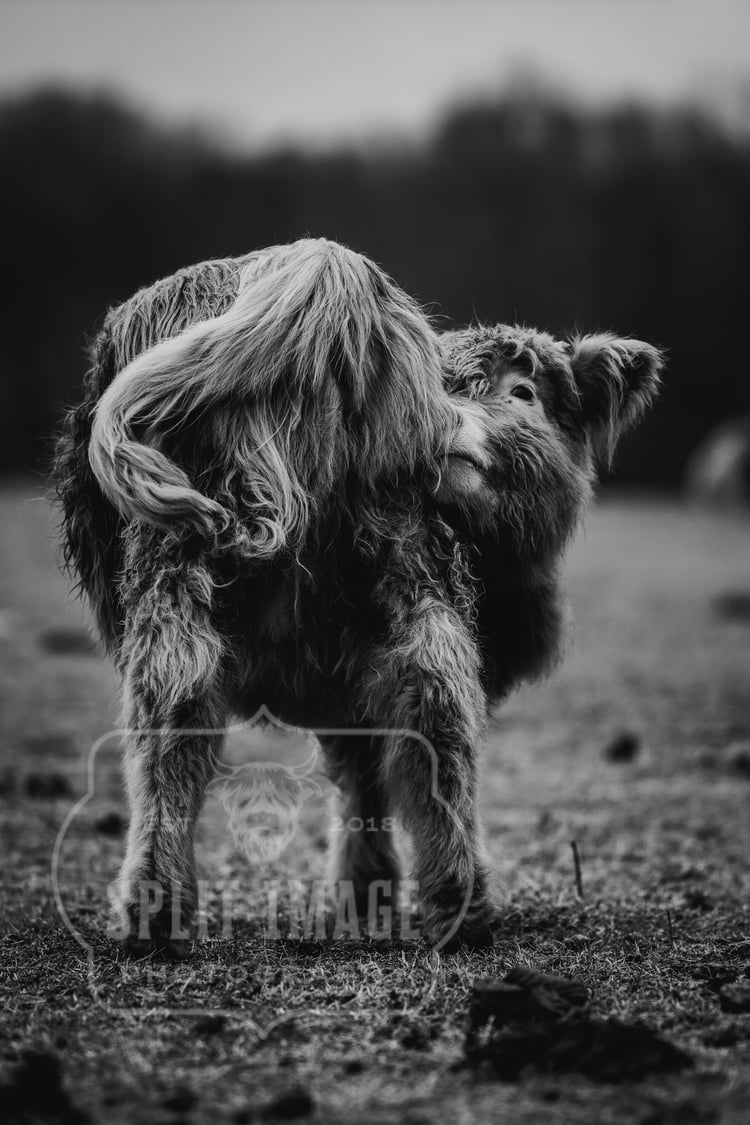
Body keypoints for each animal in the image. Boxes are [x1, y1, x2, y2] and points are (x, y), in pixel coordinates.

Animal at [54, 238, 662, 955]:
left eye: (523, 393)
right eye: (451, 384)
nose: (452, 424)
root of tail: (320, 269)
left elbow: (359, 766)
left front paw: (362, 893)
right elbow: (370, 767)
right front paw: (367, 892)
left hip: (183, 572)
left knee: (174, 727)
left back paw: (157, 914)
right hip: (407, 567)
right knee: (437, 725)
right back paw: (461, 910)